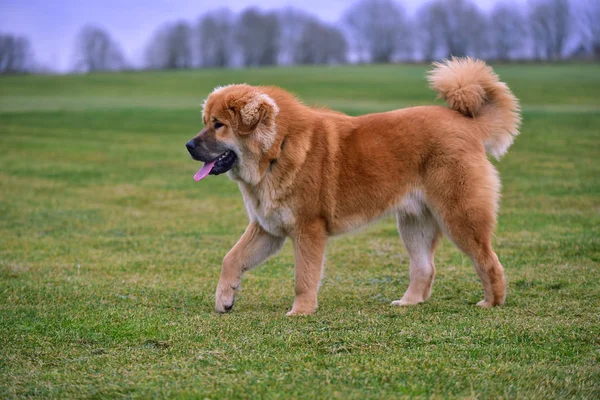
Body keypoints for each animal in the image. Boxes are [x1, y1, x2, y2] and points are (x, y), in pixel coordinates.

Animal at [185, 58, 516, 316]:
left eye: (218, 125)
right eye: (205, 121)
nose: (189, 145)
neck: (278, 147)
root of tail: (466, 123)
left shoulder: (308, 229)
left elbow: (304, 277)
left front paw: (301, 310)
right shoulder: (267, 229)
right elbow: (231, 259)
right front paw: (225, 298)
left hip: (459, 216)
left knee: (488, 261)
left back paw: (492, 302)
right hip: (414, 224)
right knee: (424, 268)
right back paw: (408, 302)